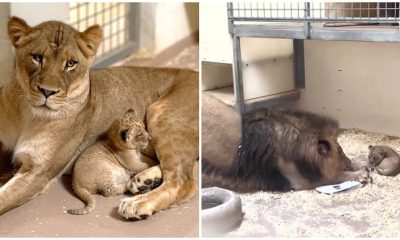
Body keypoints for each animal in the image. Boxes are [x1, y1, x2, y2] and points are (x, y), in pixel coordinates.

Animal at [0, 16, 199, 219]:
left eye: (70, 63)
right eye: (37, 57)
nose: (47, 92)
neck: (27, 114)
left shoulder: (39, 172)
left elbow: (4, 198)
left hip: (159, 113)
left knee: (183, 181)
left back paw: (136, 203)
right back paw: (143, 181)